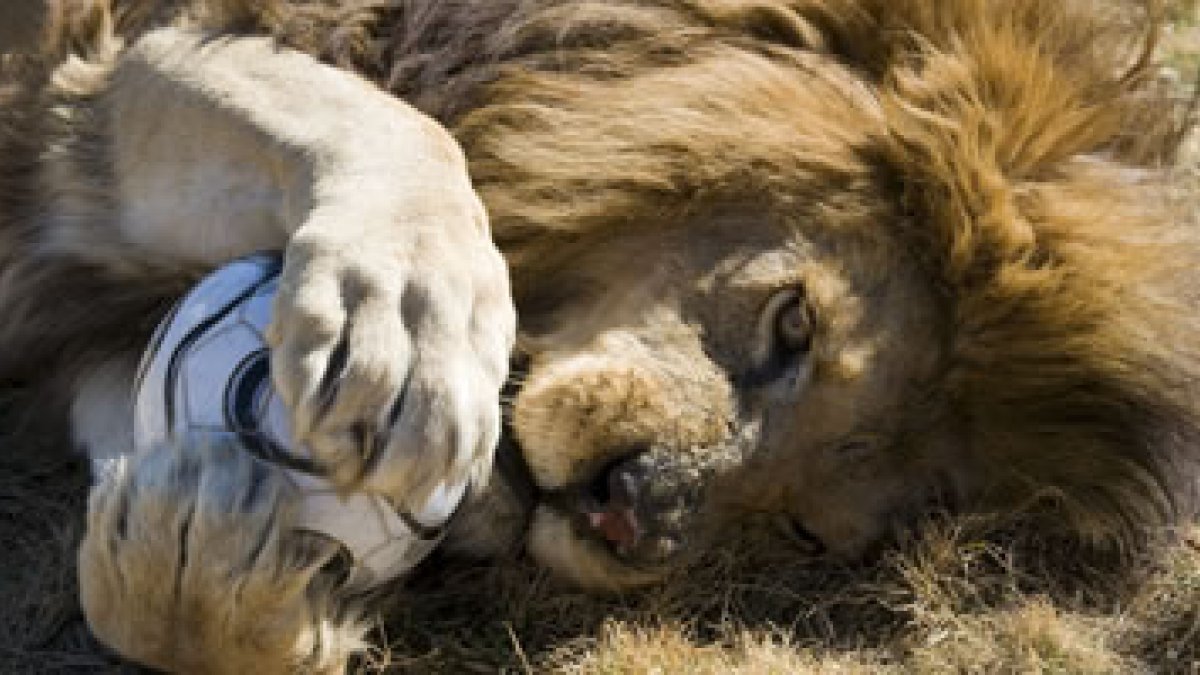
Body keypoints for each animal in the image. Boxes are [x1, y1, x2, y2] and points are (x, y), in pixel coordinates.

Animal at [0, 0, 1198, 672]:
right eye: (794, 322)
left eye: (806, 530)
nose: (626, 513)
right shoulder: (99, 71)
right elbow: (364, 114)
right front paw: (410, 320)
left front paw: (212, 567)